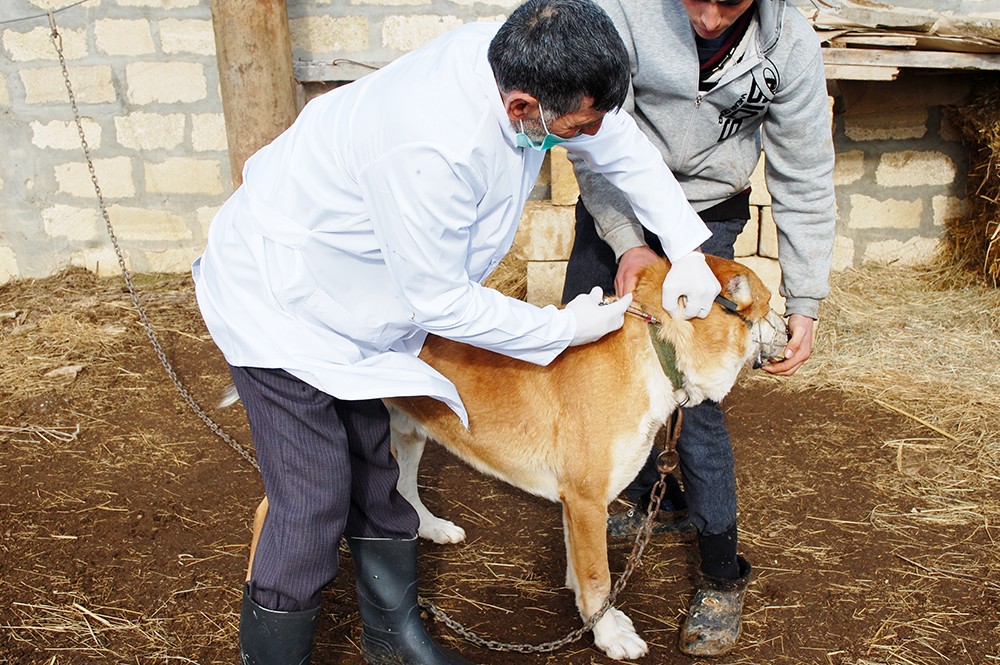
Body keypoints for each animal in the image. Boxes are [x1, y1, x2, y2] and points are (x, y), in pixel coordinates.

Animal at [246, 254, 784, 660]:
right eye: (767, 302)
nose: (794, 327)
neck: (655, 346)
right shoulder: (586, 497)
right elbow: (598, 576)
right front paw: (609, 633)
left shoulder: (577, 501)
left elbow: (580, 567)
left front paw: (591, 613)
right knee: (272, 516)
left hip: (409, 432)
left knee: (402, 490)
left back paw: (431, 528)